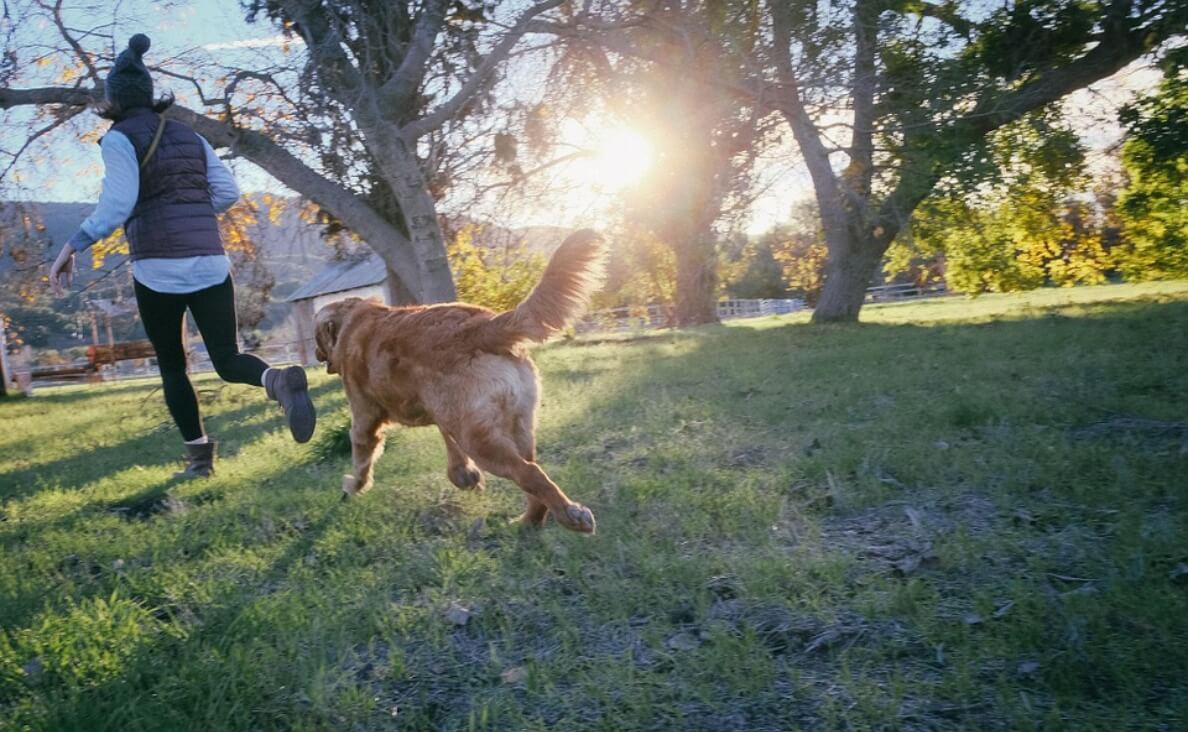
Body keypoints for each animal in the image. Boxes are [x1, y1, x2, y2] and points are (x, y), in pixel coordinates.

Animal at [311, 228, 608, 532]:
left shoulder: (365, 418)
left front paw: (353, 486)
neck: (352, 322)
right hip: (515, 426)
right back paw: (528, 521)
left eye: (316, 337)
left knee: (530, 473)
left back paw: (571, 515)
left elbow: (361, 457)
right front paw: (464, 475)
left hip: (480, 441)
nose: (315, 353)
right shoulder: (443, 414)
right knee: (533, 479)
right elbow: (449, 444)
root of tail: (481, 326)